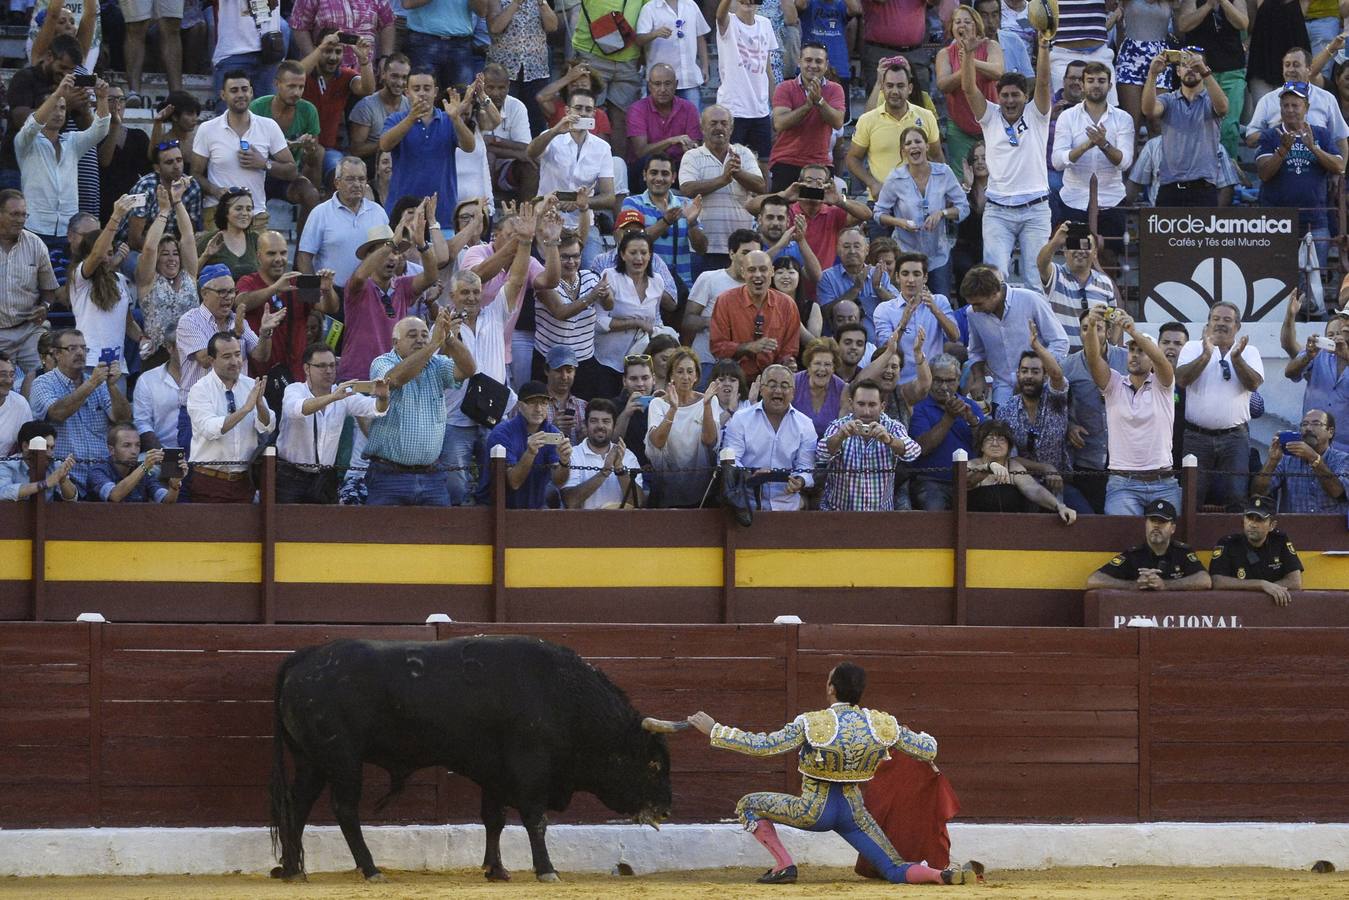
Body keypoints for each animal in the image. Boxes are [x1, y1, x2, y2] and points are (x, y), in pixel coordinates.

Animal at [265, 636, 685, 885]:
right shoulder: (529, 768)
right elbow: (535, 820)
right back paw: (370, 870)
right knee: (345, 809)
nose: (665, 809)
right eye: (653, 765)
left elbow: (494, 818)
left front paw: (496, 870)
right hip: (343, 760)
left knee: (296, 805)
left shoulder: (495, 771)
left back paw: (292, 870)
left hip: (311, 761)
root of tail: (305, 657)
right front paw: (546, 870)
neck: (564, 698)